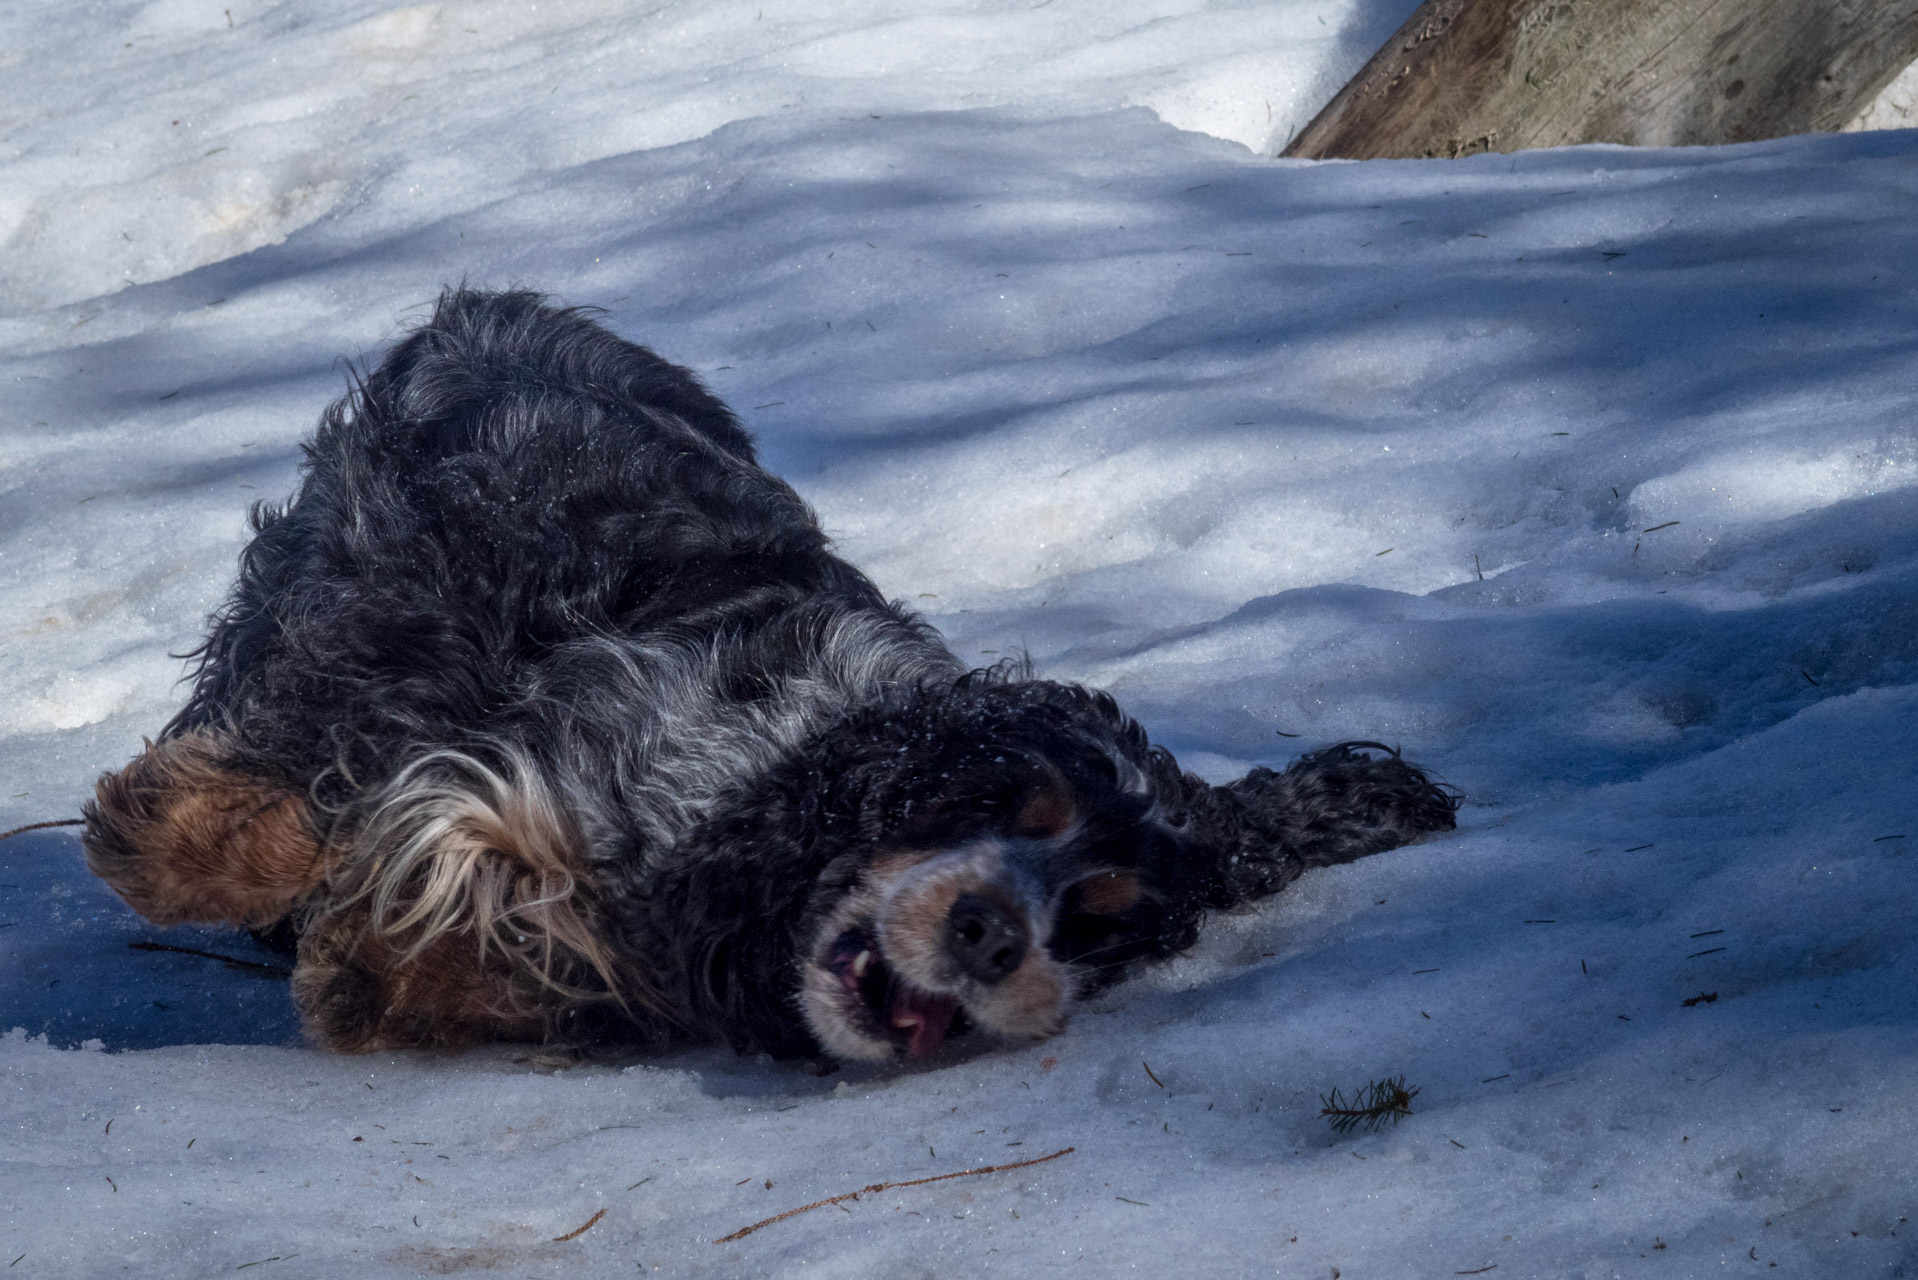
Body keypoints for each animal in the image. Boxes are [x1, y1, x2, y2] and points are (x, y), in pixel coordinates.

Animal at [78, 287, 1450, 1059]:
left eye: (1098, 913)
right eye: (1003, 802)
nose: (989, 932)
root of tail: (509, 307)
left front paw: (379, 972)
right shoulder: (533, 724)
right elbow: (362, 798)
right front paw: (186, 850)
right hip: (376, 569)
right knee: (295, 706)